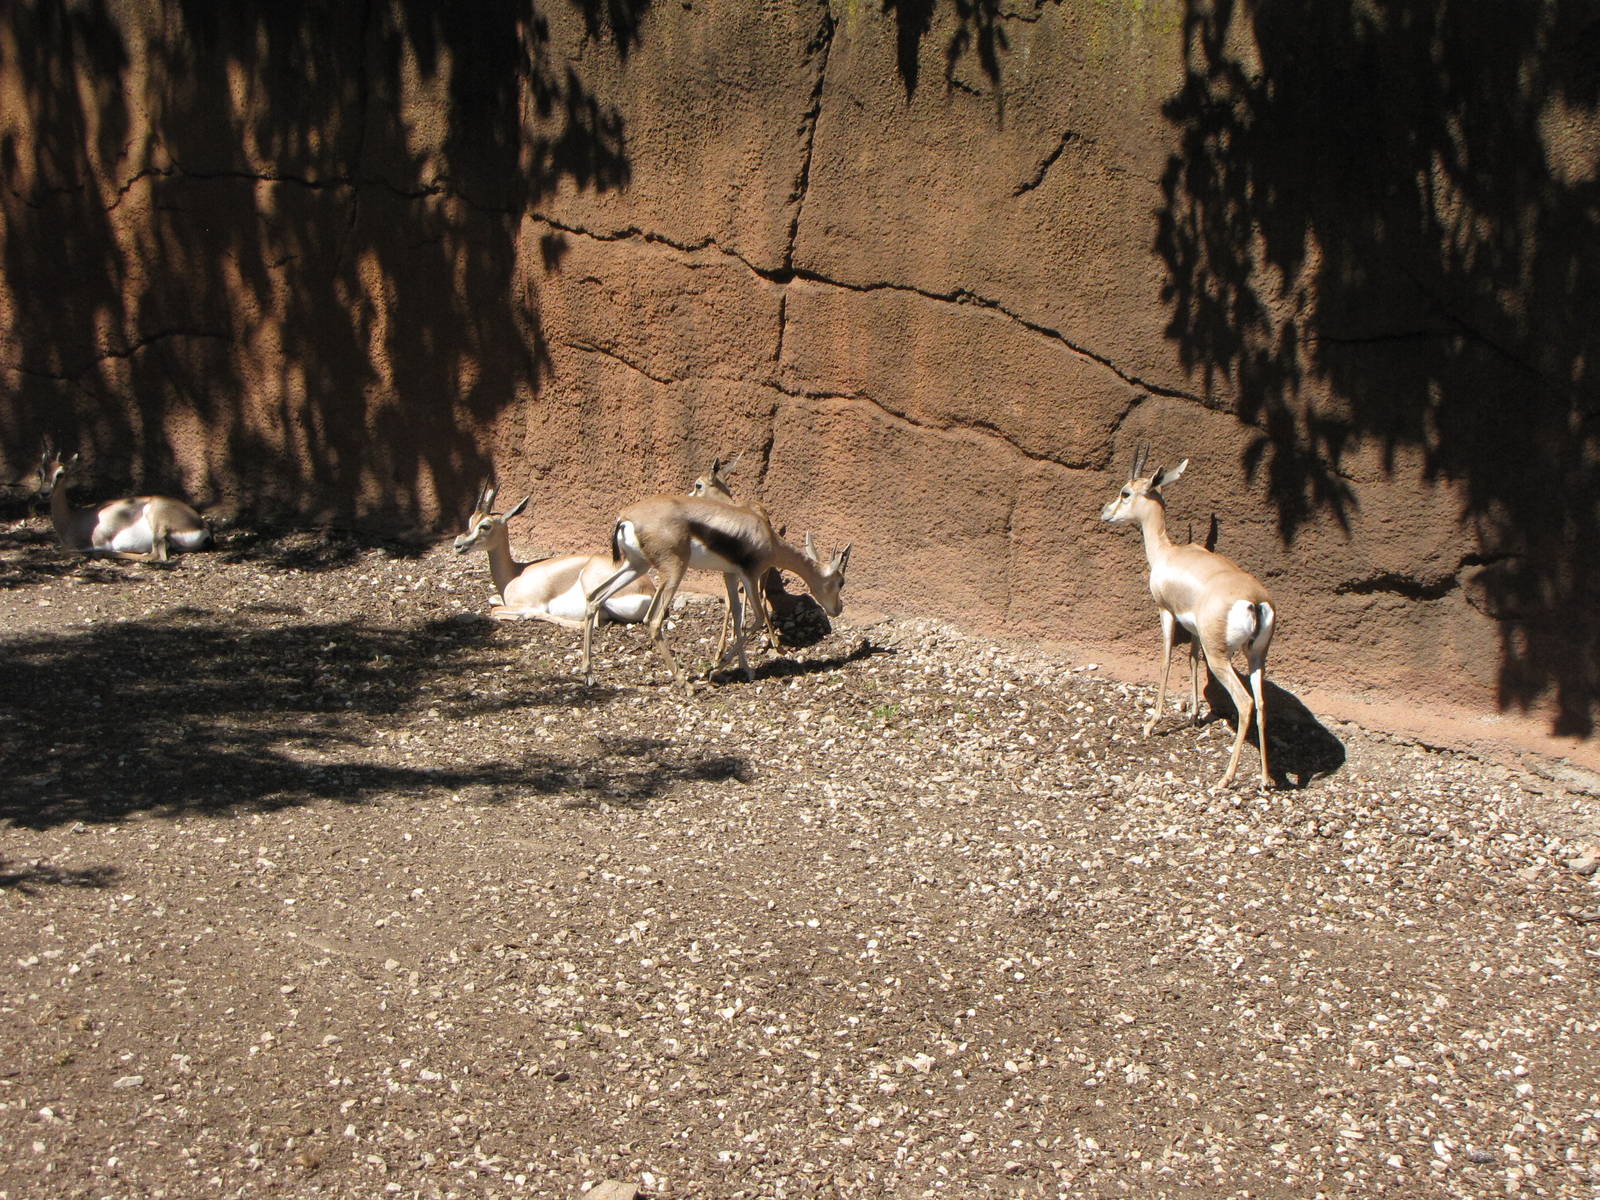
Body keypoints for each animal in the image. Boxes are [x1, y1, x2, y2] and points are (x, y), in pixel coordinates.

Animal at [38, 448, 212, 562]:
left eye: (60, 474)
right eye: (40, 471)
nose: (44, 493)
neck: (70, 520)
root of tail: (201, 525)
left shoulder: (91, 542)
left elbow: (65, 549)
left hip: (156, 521)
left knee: (157, 556)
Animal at [453, 479, 654, 627]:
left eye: (485, 526)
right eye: (470, 520)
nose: (458, 544)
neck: (515, 574)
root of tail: (648, 589)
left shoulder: (528, 602)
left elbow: (495, 610)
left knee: (590, 623)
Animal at [581, 495, 851, 692]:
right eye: (840, 582)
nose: (838, 609)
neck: (767, 538)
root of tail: (625, 519)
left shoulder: (730, 575)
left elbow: (738, 618)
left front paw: (746, 669)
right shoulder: (751, 574)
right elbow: (757, 618)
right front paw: (715, 670)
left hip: (637, 565)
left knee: (595, 596)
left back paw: (589, 675)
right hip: (673, 571)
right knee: (653, 620)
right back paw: (686, 685)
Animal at [1100, 447, 1276, 788]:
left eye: (1125, 492)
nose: (1105, 512)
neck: (1168, 553)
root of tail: (1255, 601)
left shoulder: (1166, 612)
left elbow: (1166, 659)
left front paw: (1151, 724)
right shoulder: (1194, 630)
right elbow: (1192, 660)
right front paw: (1193, 715)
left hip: (1220, 656)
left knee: (1245, 702)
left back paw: (1226, 778)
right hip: (1257, 655)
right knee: (1261, 703)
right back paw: (1265, 778)